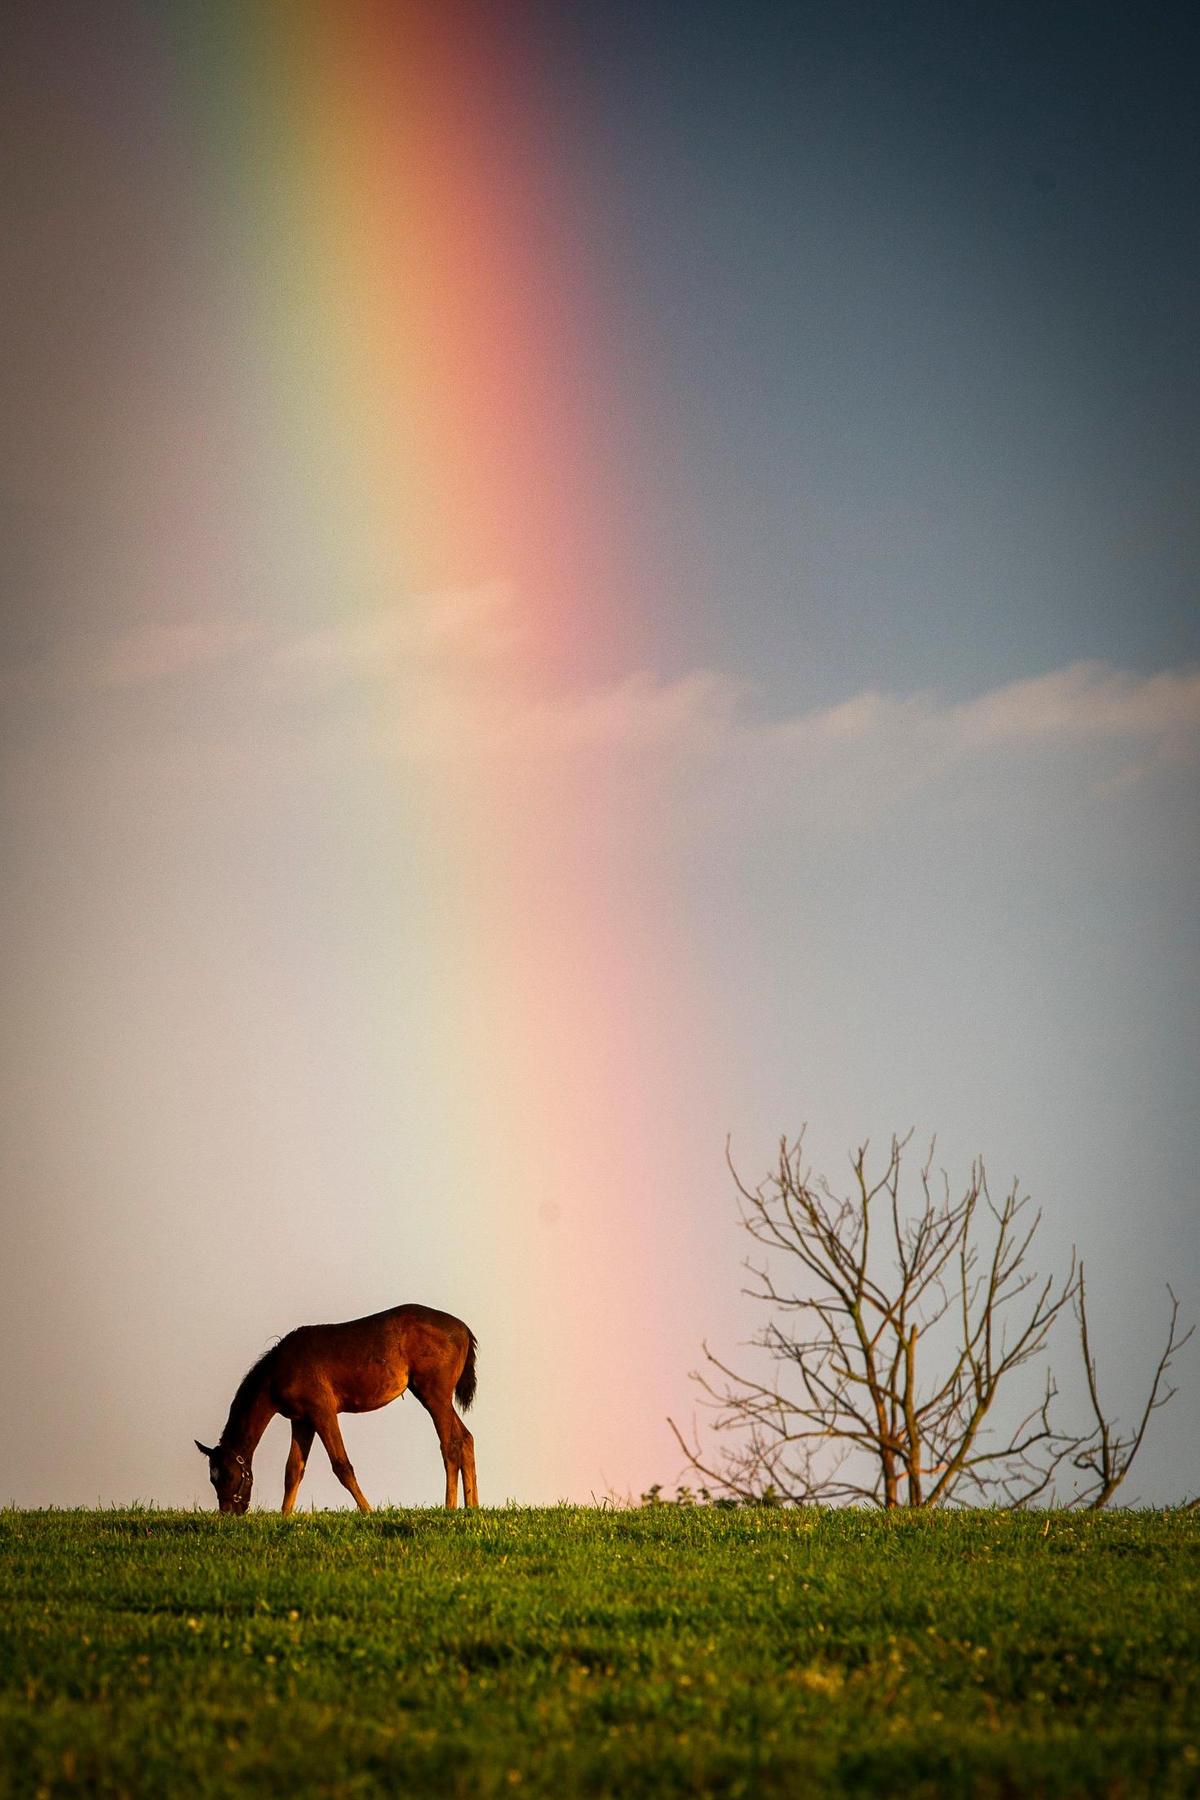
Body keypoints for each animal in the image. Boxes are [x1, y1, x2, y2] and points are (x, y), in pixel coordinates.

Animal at [195, 1303, 478, 1514]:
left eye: (227, 1476)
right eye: (212, 1478)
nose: (229, 1512)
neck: (279, 1371)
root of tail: (464, 1329)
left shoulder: (322, 1412)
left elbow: (341, 1465)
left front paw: (368, 1512)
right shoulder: (301, 1420)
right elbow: (293, 1470)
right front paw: (285, 1517)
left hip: (434, 1394)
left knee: (450, 1444)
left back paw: (450, 1507)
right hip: (432, 1395)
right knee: (465, 1438)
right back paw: (472, 1507)